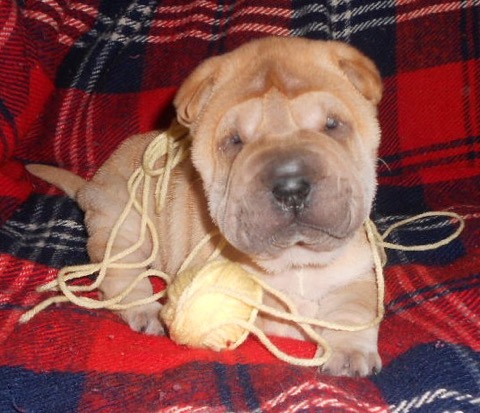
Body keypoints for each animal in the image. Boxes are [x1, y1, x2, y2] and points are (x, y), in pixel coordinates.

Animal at [29, 36, 382, 376]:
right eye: (235, 141)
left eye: (332, 125)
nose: (291, 187)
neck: (295, 261)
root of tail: (92, 186)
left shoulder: (359, 274)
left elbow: (355, 310)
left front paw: (350, 352)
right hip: (121, 228)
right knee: (121, 279)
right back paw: (145, 311)